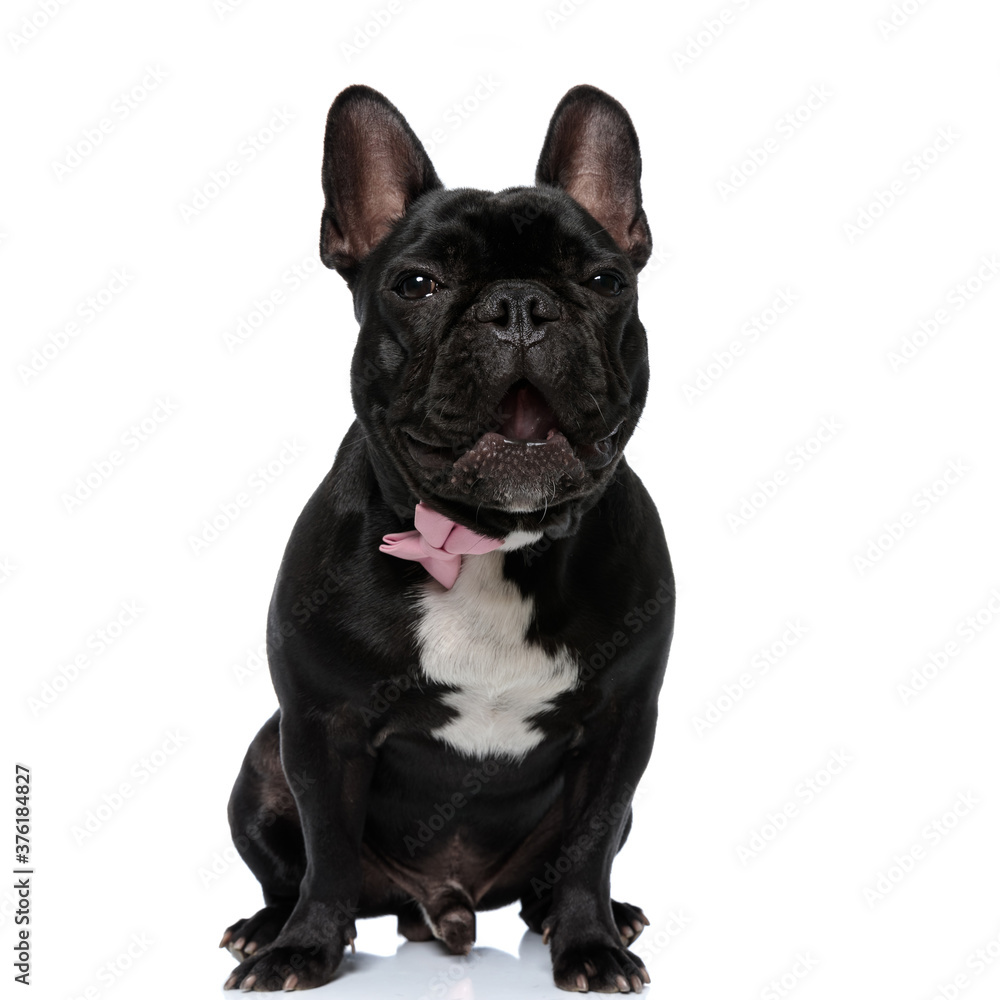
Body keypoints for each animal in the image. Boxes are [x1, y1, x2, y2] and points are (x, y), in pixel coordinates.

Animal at [219, 82, 672, 988]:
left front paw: (590, 943)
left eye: (604, 279)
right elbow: (327, 851)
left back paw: (600, 916)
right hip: (261, 763)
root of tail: (443, 905)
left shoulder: (620, 729)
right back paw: (266, 927)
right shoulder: (322, 729)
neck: (488, 544)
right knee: (295, 868)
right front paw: (304, 949)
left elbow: (589, 844)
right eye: (418, 283)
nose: (520, 304)